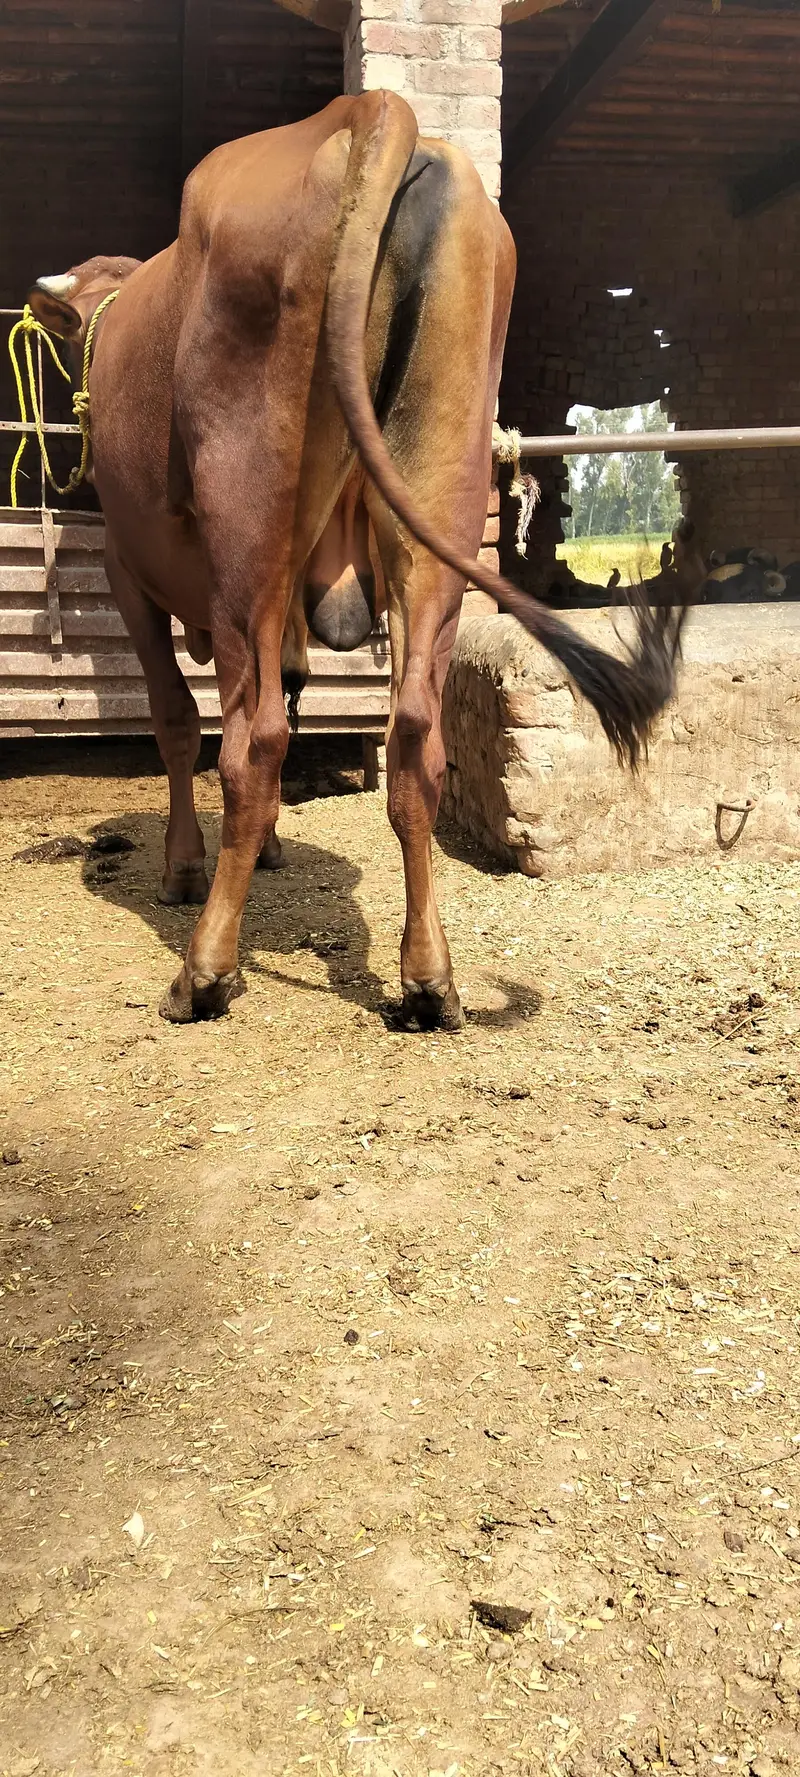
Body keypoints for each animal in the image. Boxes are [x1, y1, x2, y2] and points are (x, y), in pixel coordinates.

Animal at [27, 92, 685, 1033]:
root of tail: (370, 109)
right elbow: (299, 692)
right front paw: (266, 850)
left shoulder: (126, 568)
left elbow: (180, 723)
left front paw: (184, 867)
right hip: (434, 514)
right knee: (414, 742)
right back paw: (428, 977)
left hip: (247, 539)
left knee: (253, 741)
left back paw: (206, 967)